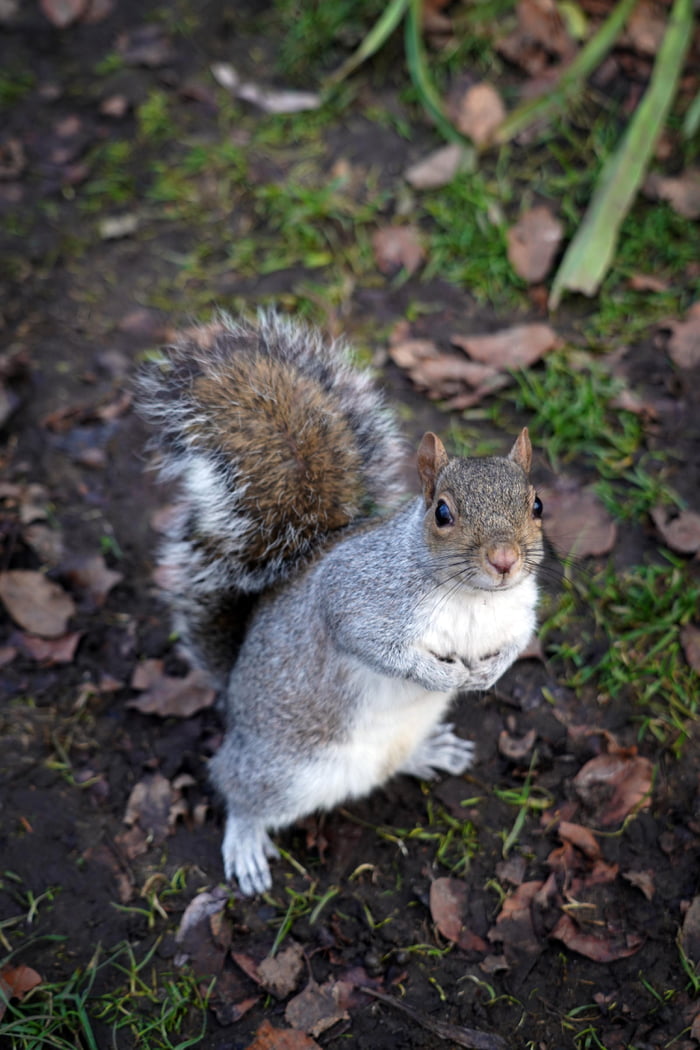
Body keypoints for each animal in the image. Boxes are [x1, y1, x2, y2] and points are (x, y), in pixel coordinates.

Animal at [135, 308, 541, 894]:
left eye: (537, 504)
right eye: (442, 513)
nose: (505, 560)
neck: (474, 599)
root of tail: (232, 695)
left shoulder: (519, 613)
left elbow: (517, 642)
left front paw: (490, 674)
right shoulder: (355, 597)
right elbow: (373, 645)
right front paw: (441, 676)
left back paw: (430, 752)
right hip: (281, 771)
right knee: (238, 789)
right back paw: (245, 842)